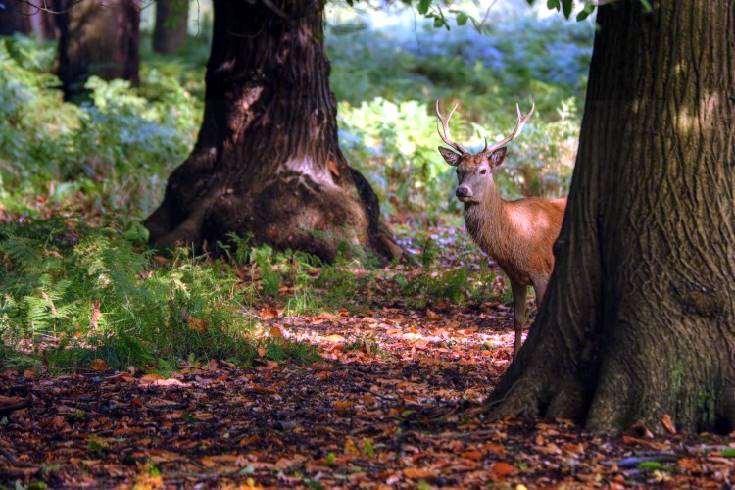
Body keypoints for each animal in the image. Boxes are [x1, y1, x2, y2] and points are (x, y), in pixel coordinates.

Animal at [436, 100, 568, 360]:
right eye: (458, 170)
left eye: (484, 170)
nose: (462, 191)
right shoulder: (515, 276)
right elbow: (517, 320)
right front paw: (514, 358)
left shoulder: (541, 270)